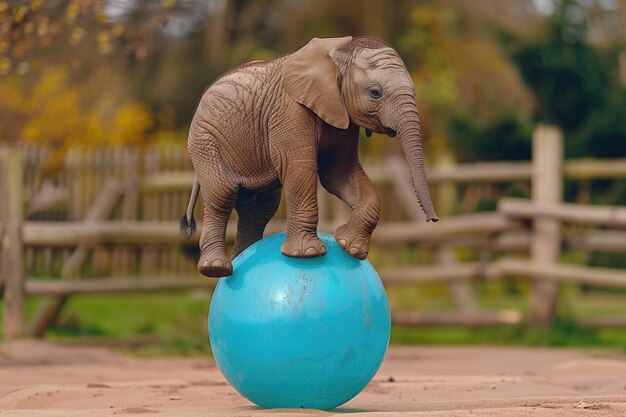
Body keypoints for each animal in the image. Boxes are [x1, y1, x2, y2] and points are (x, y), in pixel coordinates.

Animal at [180, 35, 434, 276]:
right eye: (375, 93)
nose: (433, 220)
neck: (338, 55)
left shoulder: (343, 120)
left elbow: (340, 173)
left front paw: (349, 246)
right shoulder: (290, 112)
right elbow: (300, 168)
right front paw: (308, 254)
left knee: (259, 208)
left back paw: (239, 259)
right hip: (205, 141)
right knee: (222, 193)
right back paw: (215, 268)